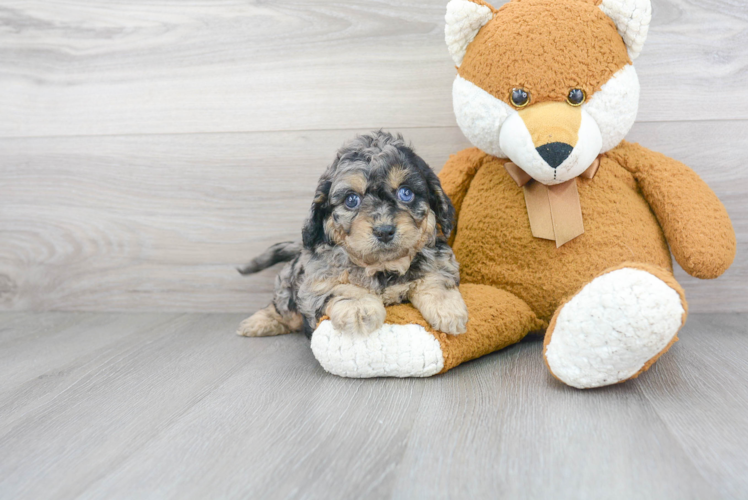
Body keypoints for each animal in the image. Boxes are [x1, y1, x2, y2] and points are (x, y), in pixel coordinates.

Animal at [238, 131, 468, 338]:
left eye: (406, 193)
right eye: (351, 199)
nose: (384, 231)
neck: (381, 267)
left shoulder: (438, 260)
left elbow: (436, 277)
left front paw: (448, 309)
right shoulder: (317, 280)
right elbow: (343, 288)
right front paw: (359, 307)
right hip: (288, 285)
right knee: (282, 308)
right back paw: (258, 322)